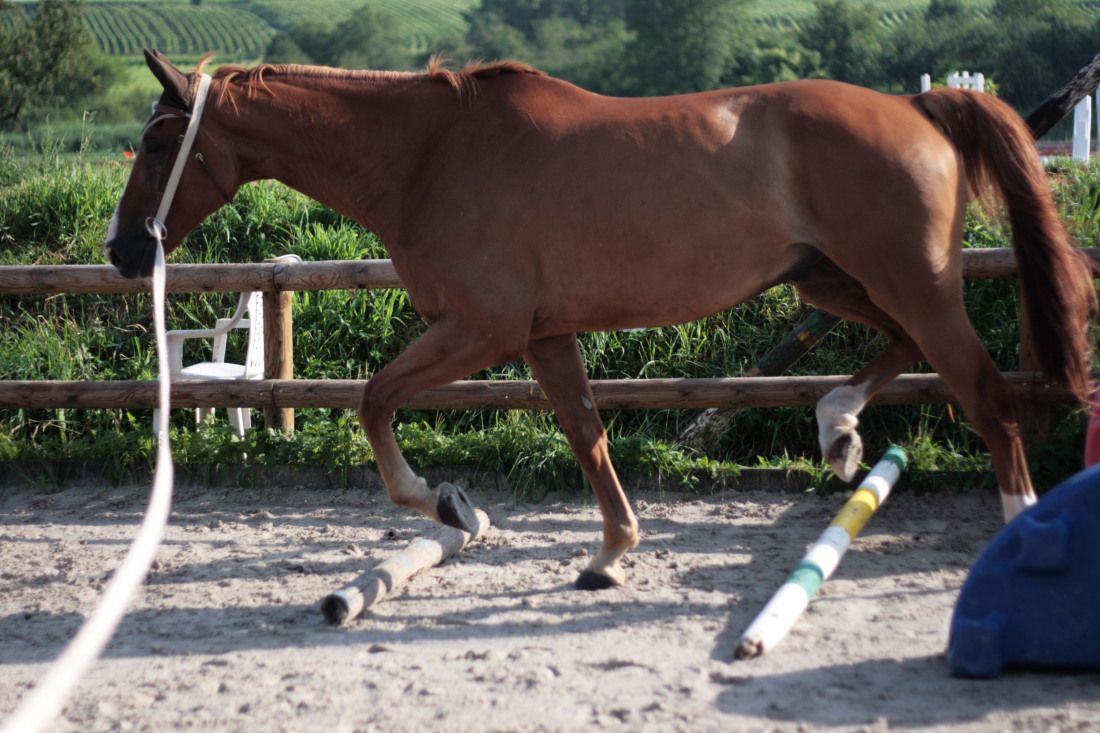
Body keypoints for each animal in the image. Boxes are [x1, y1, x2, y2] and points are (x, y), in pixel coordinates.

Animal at [107, 49, 1095, 590]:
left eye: (158, 141)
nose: (123, 251)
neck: (429, 156)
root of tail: (917, 104)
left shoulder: (482, 330)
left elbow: (374, 400)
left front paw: (448, 502)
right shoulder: (545, 336)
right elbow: (587, 434)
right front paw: (612, 551)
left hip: (912, 281)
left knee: (985, 394)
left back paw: (1018, 528)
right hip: (830, 282)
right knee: (897, 352)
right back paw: (839, 428)